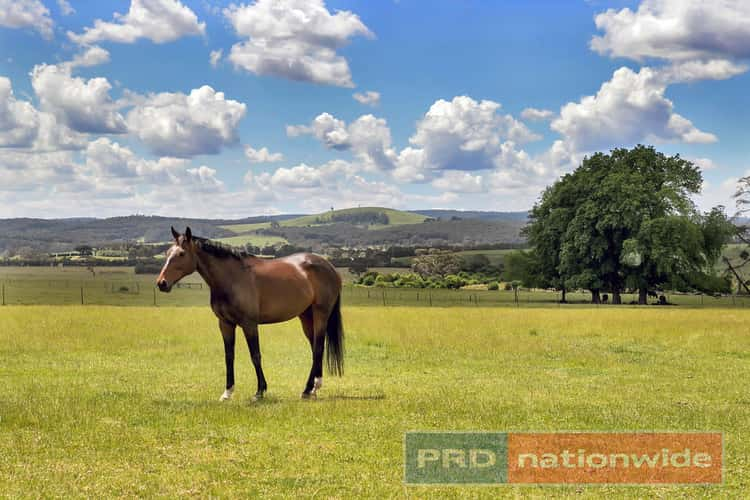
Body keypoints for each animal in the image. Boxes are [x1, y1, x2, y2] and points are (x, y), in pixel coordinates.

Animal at [159, 229, 346, 400]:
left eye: (181, 254)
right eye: (167, 253)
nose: (162, 283)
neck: (233, 278)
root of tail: (329, 267)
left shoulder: (249, 324)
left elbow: (255, 355)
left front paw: (260, 391)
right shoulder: (225, 324)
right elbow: (229, 356)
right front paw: (227, 392)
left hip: (320, 314)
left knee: (319, 347)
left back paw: (314, 387)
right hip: (306, 316)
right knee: (314, 349)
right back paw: (309, 389)